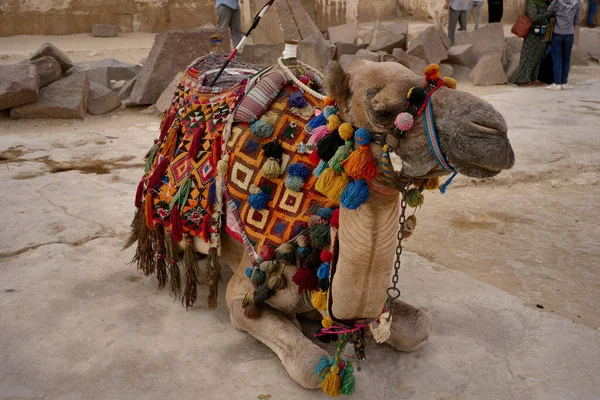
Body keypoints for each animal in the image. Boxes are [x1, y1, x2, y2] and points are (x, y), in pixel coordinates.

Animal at [127, 54, 516, 396]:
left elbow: (420, 326)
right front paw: (302, 327)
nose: (494, 131)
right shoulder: (244, 291)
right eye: (383, 111)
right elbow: (310, 367)